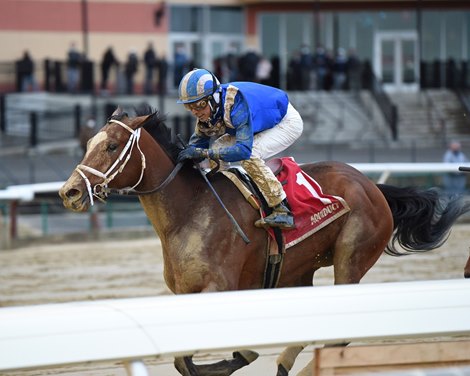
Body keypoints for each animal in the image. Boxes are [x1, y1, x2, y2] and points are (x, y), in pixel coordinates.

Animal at [57, 106, 470, 376]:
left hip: (351, 257)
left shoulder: (220, 287)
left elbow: (197, 358)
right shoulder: (187, 296)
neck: (189, 211)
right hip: (297, 272)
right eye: (89, 142)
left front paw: (236, 357)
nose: (70, 192)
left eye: (111, 146)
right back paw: (285, 363)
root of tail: (373, 186)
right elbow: (182, 359)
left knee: (339, 335)